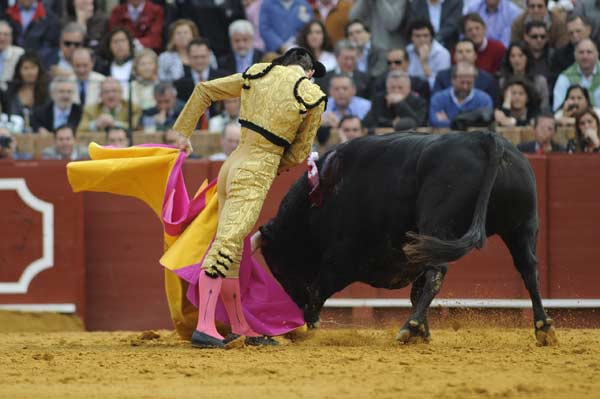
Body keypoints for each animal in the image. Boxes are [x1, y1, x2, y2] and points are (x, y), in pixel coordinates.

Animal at [262, 132, 556, 346]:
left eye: (277, 267)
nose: (289, 325)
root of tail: (485, 138)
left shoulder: (341, 257)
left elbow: (319, 288)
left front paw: (308, 328)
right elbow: (416, 291)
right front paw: (425, 331)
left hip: (438, 224)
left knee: (438, 271)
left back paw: (408, 328)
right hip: (522, 226)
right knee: (529, 269)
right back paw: (543, 328)